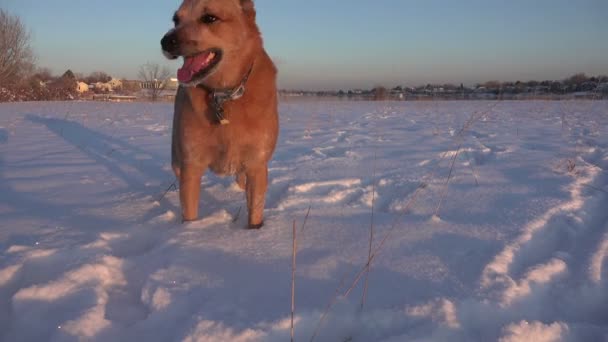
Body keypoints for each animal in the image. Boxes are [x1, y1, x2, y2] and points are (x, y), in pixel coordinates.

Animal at [159, 0, 278, 230]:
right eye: (176, 20)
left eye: (210, 18)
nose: (166, 41)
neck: (224, 95)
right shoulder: (191, 165)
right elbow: (189, 213)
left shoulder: (256, 165)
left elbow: (255, 212)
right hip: (177, 158)